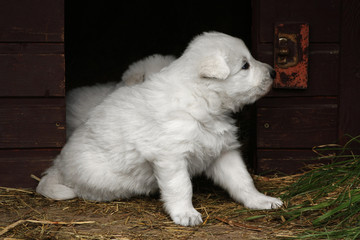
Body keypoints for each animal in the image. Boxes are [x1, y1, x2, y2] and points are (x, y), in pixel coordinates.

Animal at [38, 32, 282, 227]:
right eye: (245, 66)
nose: (273, 72)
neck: (202, 100)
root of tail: (58, 164)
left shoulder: (222, 151)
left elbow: (242, 180)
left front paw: (261, 200)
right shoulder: (171, 156)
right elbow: (181, 186)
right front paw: (186, 214)